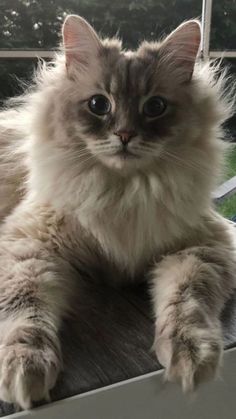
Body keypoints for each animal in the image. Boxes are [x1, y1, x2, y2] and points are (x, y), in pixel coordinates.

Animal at [0, 13, 235, 410]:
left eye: (155, 107)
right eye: (99, 104)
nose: (125, 135)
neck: (125, 192)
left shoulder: (202, 248)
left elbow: (188, 301)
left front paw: (191, 357)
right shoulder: (28, 246)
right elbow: (25, 312)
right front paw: (26, 371)